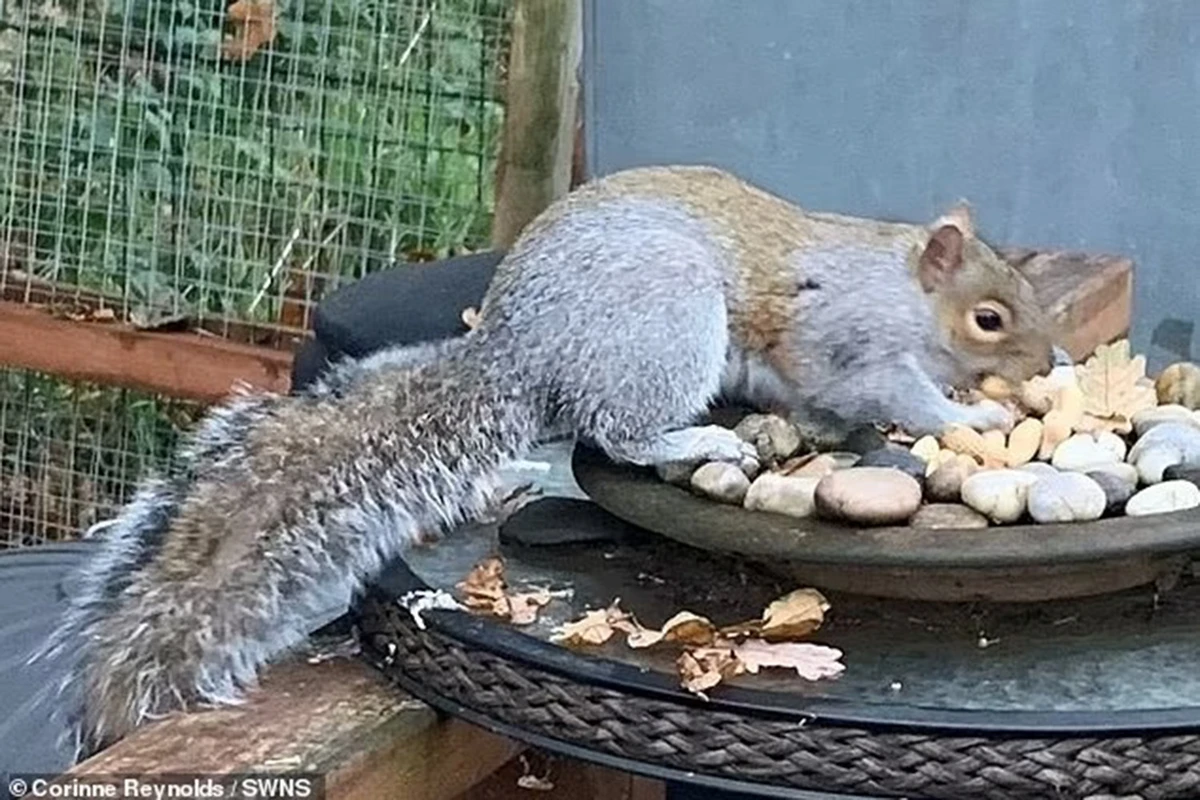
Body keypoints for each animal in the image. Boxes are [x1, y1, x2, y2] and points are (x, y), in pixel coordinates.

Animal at [40, 164, 1056, 759]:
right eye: (990, 317)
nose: (1048, 362)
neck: (903, 293)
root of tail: (521, 353)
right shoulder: (849, 339)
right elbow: (887, 391)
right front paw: (966, 415)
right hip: (664, 325)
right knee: (618, 431)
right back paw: (698, 437)